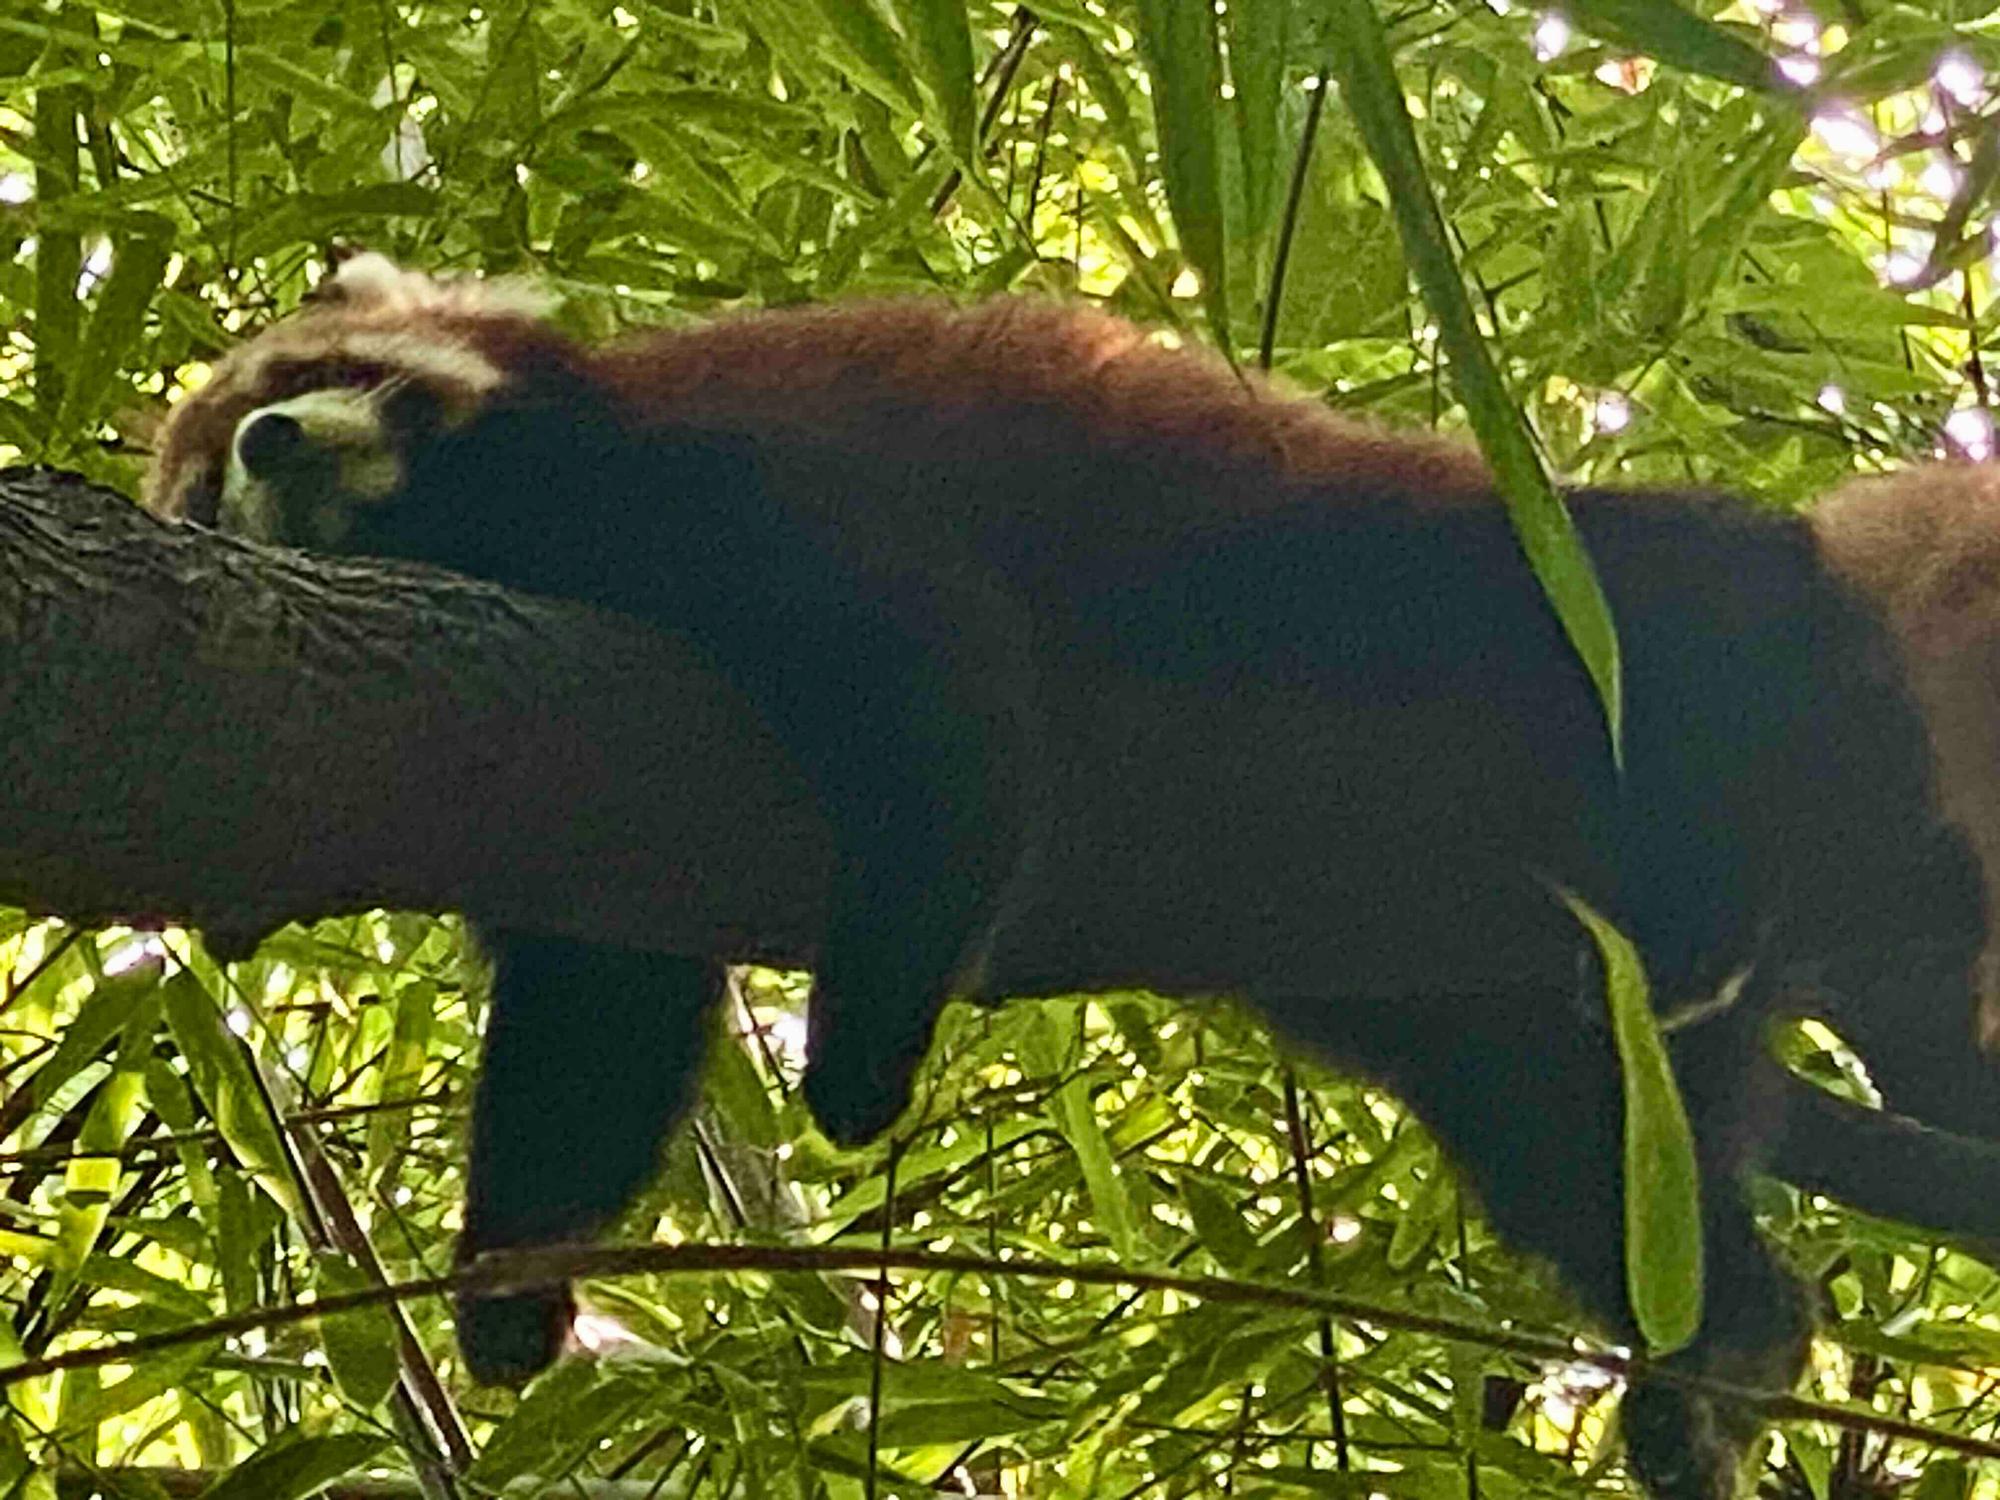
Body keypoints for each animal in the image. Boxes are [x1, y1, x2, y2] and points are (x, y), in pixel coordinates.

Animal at [147, 253, 2000, 1499]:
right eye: (217, 462)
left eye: (308, 374)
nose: (282, 443)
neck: (501, 535)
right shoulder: (550, 787)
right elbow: (596, 1024)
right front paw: (513, 1295)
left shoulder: (729, 486)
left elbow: (937, 695)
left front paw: (860, 1058)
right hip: (1467, 974)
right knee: (1589, 1149)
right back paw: (1727, 1345)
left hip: (1406, 586)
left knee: (1660, 582)